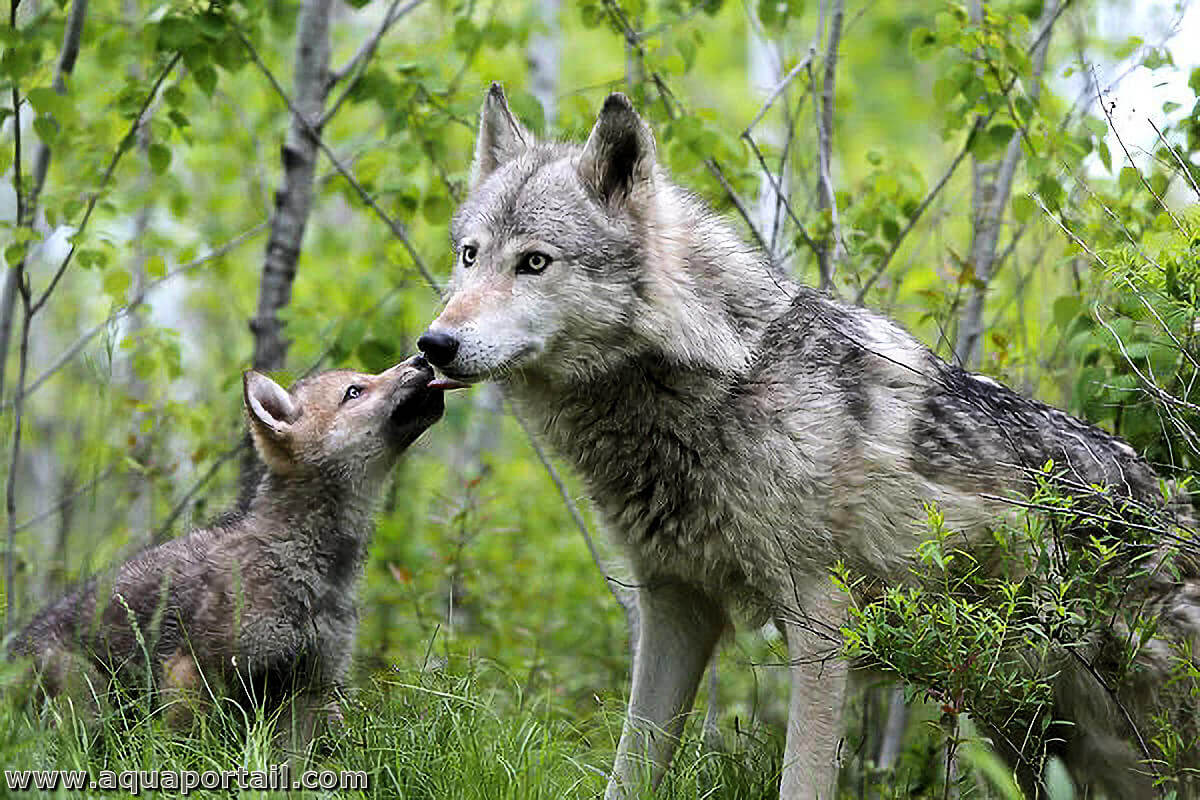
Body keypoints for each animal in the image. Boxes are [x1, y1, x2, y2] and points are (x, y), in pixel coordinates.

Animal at [12, 359, 446, 748]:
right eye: (354, 391)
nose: (423, 358)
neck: (308, 564)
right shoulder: (195, 673)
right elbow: (189, 755)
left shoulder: (311, 689)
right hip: (88, 701)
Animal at [417, 84, 1195, 796]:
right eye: (470, 255)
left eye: (535, 262)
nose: (434, 344)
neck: (724, 379)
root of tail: (1173, 504)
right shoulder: (675, 606)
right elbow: (630, 770)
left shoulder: (821, 619)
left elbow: (803, 777)